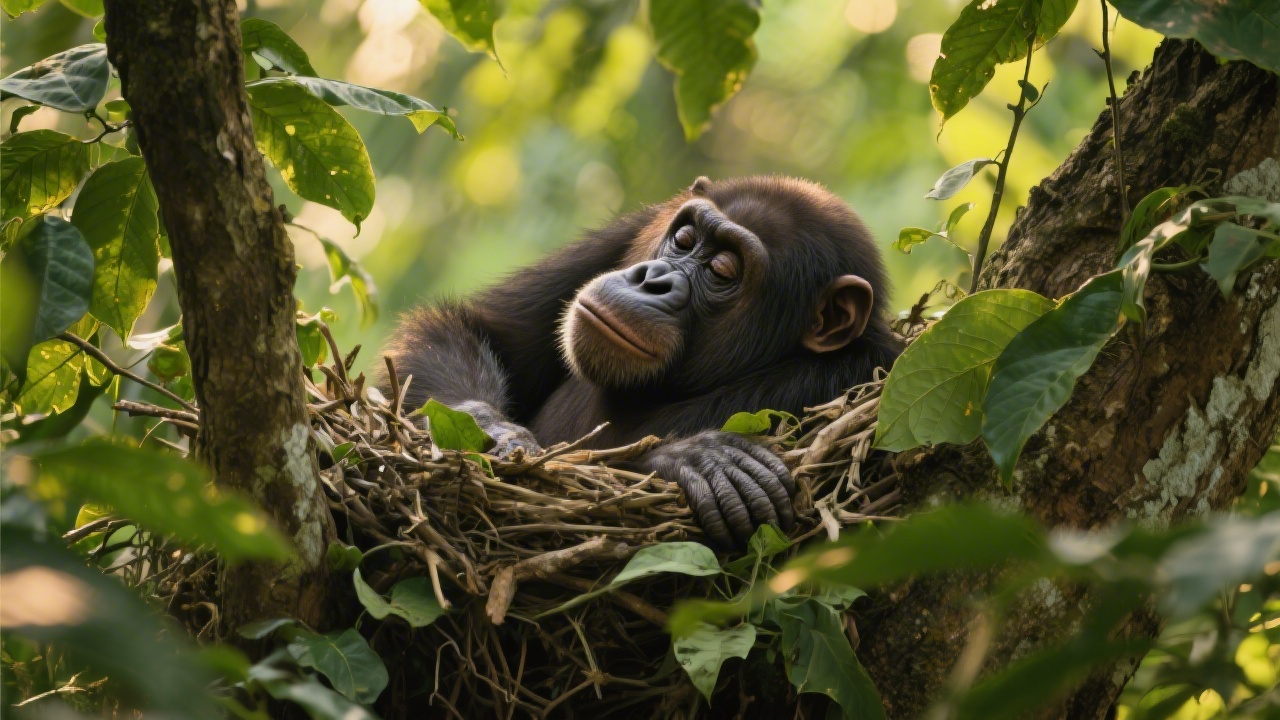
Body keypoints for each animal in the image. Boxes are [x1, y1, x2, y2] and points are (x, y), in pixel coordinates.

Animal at [382, 176, 900, 548]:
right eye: (685, 237)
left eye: (723, 270)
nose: (653, 277)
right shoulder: (630, 230)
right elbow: (476, 328)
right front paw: (491, 429)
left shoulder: (848, 376)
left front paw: (690, 459)